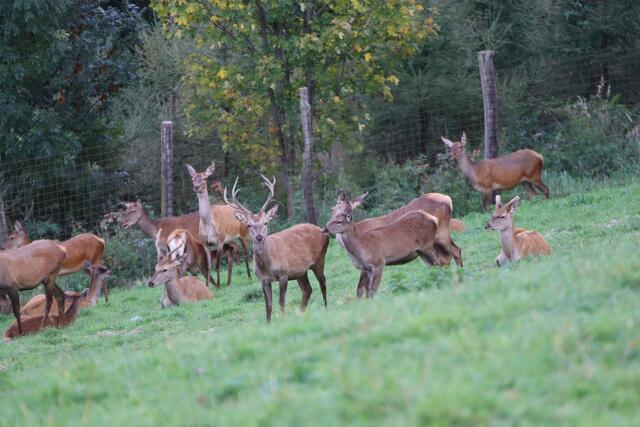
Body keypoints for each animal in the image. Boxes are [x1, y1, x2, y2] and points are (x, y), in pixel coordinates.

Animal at [224, 176, 328, 322]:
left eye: (265, 222)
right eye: (249, 225)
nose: (259, 236)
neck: (267, 266)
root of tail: (322, 230)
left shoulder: (283, 273)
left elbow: (281, 302)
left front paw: (283, 320)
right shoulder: (263, 279)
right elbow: (268, 305)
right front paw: (268, 323)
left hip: (319, 259)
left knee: (322, 283)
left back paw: (326, 308)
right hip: (300, 272)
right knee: (307, 289)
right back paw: (301, 314)